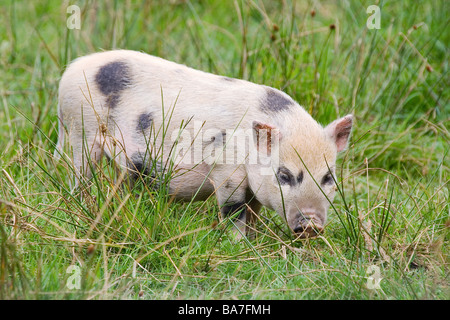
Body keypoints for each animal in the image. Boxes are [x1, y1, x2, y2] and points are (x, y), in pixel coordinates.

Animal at [55, 50, 352, 239]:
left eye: (328, 177)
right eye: (284, 175)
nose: (311, 224)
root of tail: (70, 69)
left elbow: (254, 212)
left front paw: (255, 240)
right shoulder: (225, 169)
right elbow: (233, 211)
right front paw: (238, 244)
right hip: (81, 131)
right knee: (79, 175)